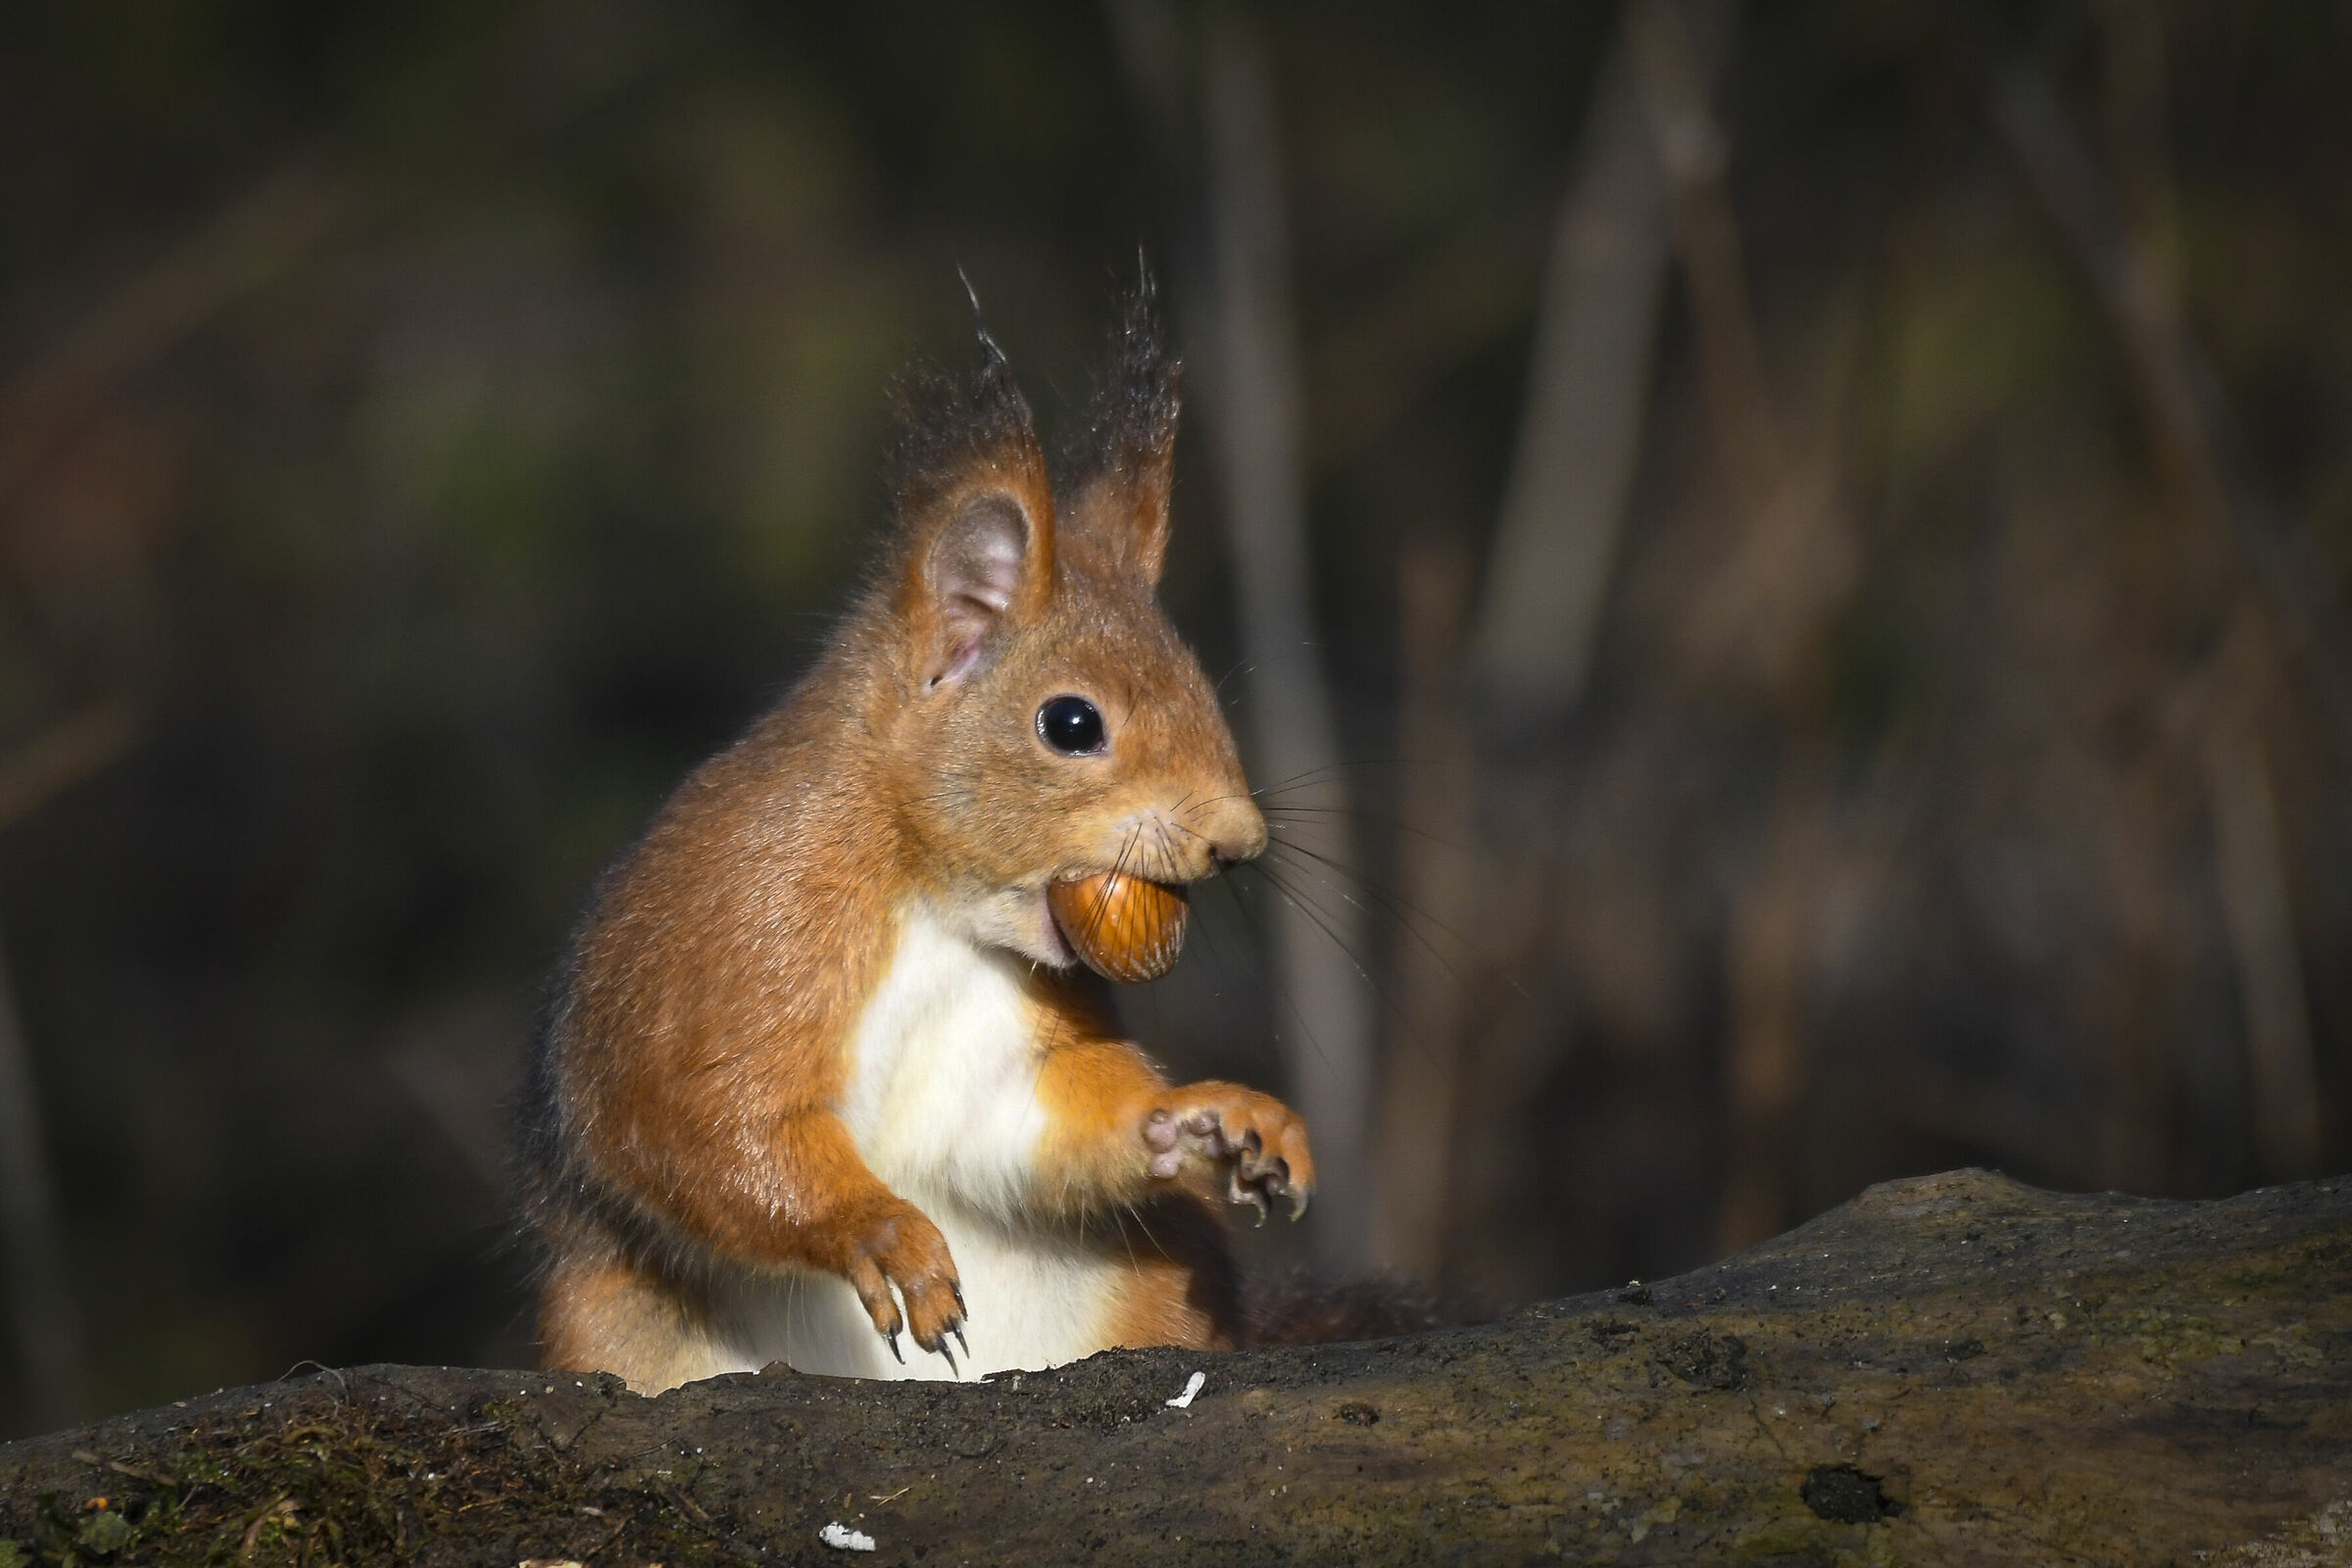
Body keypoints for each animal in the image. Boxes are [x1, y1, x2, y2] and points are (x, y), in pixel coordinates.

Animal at [518, 283, 1314, 1392]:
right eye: (1072, 723)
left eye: (1201, 684)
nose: (1238, 839)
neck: (934, 904)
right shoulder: (738, 930)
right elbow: (706, 1125)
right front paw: (880, 1232)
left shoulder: (1003, 1050)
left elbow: (1039, 1125)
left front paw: (1212, 1115)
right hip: (619, 1327)